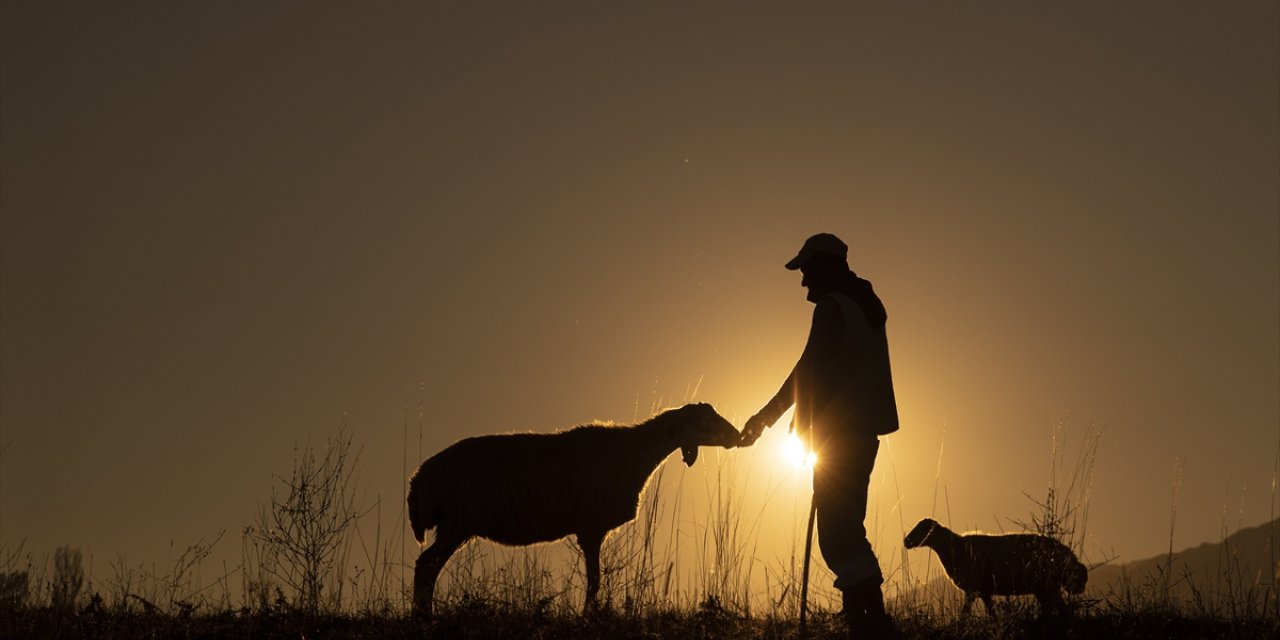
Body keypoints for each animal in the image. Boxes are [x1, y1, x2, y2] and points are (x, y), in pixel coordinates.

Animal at [399, 401, 742, 616]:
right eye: (705, 421)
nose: (737, 436)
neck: (634, 452)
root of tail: (420, 480)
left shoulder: (591, 528)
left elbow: (594, 578)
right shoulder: (591, 527)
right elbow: (595, 579)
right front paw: (588, 616)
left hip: (455, 524)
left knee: (428, 567)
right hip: (457, 521)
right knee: (426, 565)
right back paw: (424, 617)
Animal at [901, 514, 1090, 614]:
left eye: (922, 529)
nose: (906, 541)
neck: (954, 548)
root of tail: (1069, 556)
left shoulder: (973, 589)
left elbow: (965, 614)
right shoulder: (983, 591)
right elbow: (991, 613)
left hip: (1047, 585)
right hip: (1044, 588)